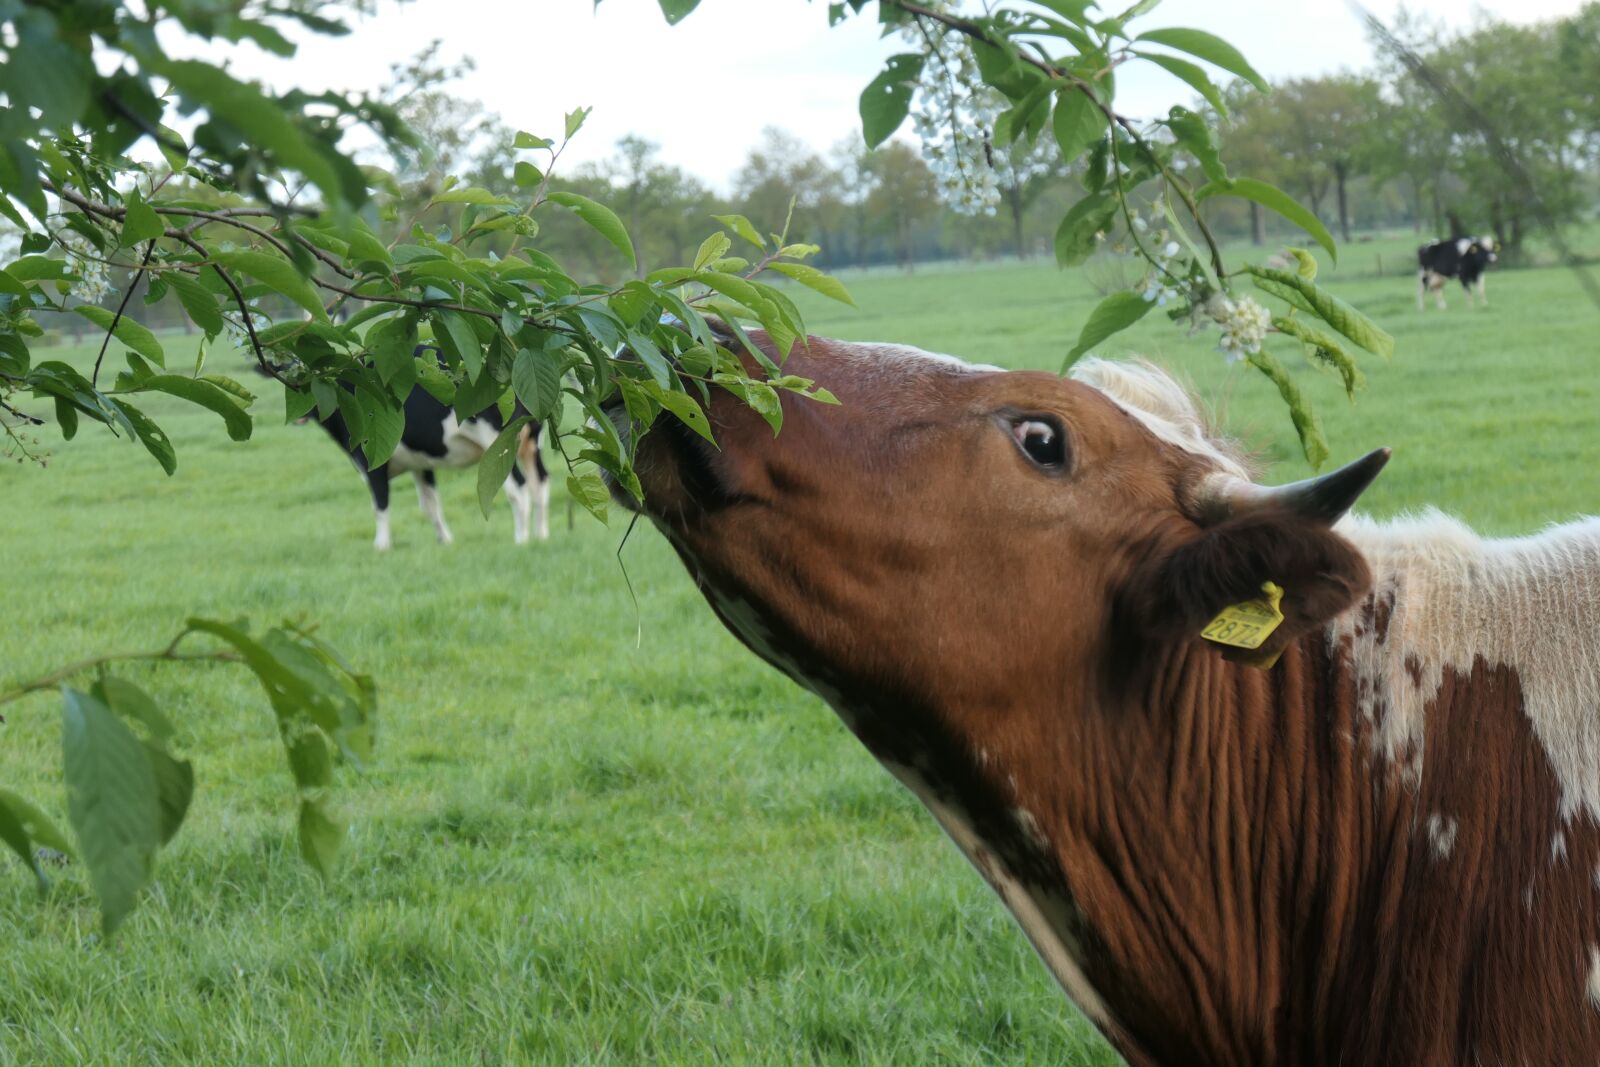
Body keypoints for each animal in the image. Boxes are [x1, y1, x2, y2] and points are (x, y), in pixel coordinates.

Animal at [310, 383, 549, 551]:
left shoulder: (373, 463)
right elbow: (430, 505)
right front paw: (445, 540)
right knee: (540, 483)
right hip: (531, 442)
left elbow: (380, 506)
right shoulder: (420, 463)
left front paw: (382, 546)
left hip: (497, 442)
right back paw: (541, 536)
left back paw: (521, 539)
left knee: (518, 488)